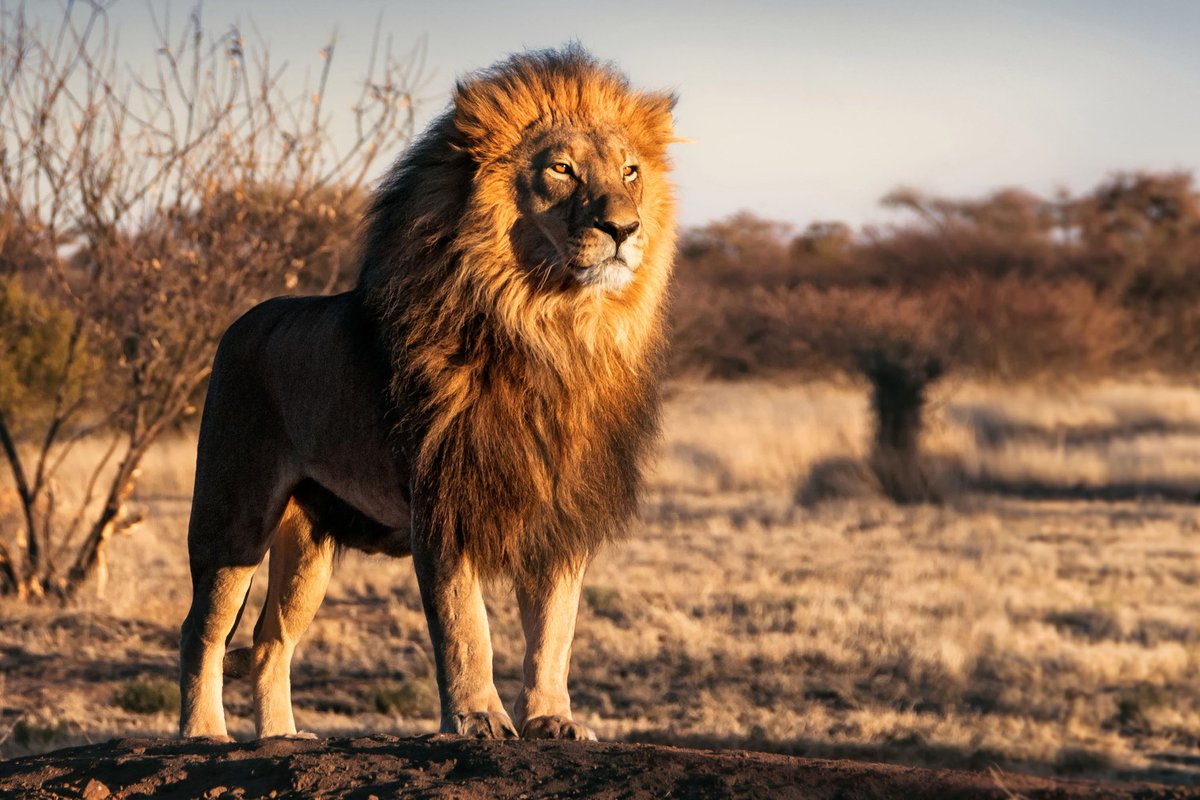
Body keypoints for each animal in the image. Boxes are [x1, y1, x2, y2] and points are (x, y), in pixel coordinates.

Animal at [181, 47, 681, 743]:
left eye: (631, 171)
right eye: (561, 169)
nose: (623, 227)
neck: (551, 329)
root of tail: (241, 321)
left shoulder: (561, 510)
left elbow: (555, 630)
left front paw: (552, 720)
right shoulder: (444, 499)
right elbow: (465, 625)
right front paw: (477, 719)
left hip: (309, 545)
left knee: (268, 640)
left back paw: (282, 736)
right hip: (233, 515)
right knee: (202, 628)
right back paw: (203, 733)